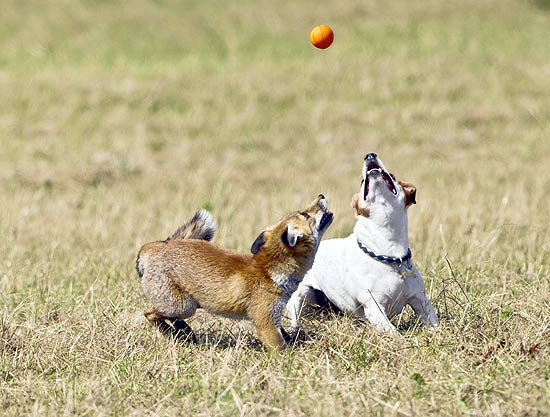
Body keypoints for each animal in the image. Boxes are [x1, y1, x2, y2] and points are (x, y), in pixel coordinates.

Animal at [288, 151, 440, 334]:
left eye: (392, 176)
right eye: (362, 182)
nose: (370, 155)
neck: (389, 253)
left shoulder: (420, 300)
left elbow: (433, 323)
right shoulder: (374, 308)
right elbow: (394, 333)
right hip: (299, 296)